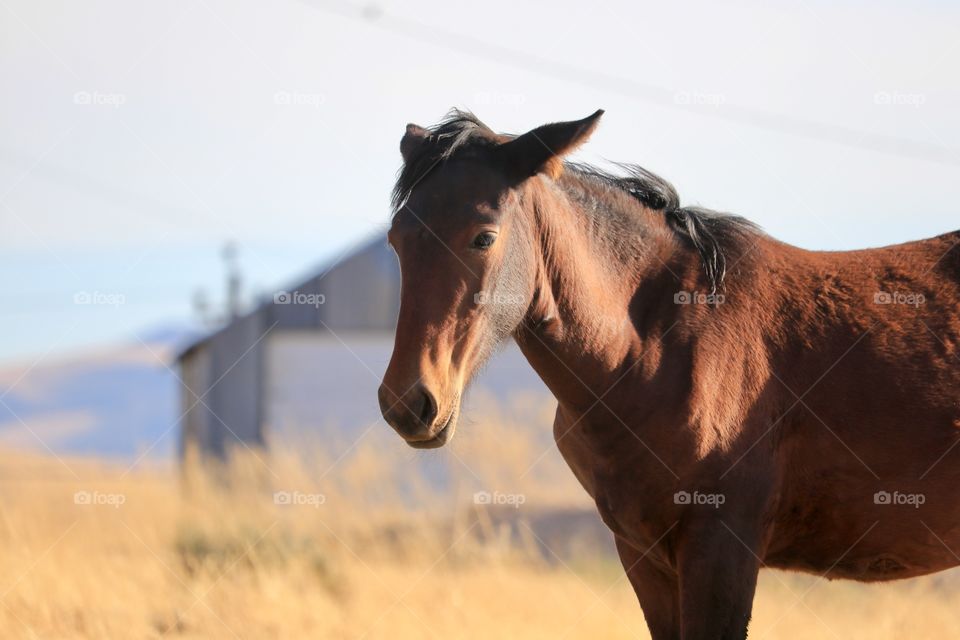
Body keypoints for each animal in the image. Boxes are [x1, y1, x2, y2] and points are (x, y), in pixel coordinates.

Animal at [376, 111, 960, 640]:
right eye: (397, 238)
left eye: (484, 237)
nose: (409, 403)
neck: (654, 347)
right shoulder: (645, 556)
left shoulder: (720, 549)